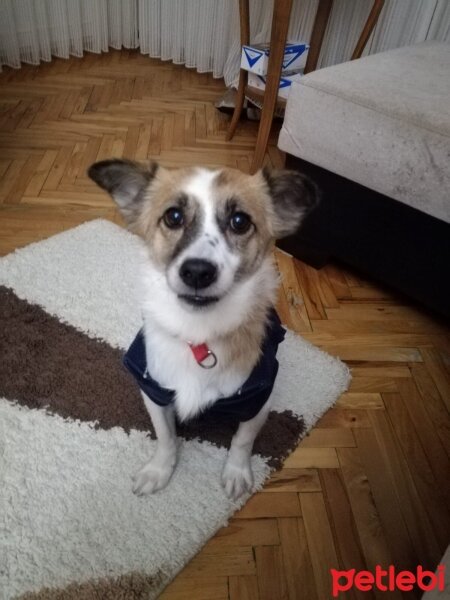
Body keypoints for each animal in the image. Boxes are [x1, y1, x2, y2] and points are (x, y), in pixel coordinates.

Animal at [88, 158, 316, 496]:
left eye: (239, 221)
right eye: (173, 216)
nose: (197, 271)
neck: (199, 333)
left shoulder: (258, 398)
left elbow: (243, 440)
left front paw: (236, 471)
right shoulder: (153, 389)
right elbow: (165, 437)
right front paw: (159, 470)